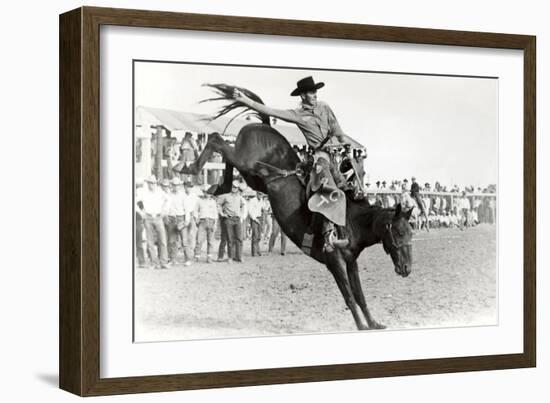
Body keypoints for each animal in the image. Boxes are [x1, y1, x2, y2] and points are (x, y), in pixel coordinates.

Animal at [177, 85, 414, 332]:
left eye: (410, 233)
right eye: (398, 232)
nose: (407, 268)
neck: (351, 220)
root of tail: (263, 125)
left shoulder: (351, 262)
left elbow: (360, 296)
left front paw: (373, 323)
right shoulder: (335, 261)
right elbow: (349, 297)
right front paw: (362, 326)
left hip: (253, 177)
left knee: (226, 157)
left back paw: (218, 186)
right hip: (246, 162)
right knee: (217, 140)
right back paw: (189, 168)